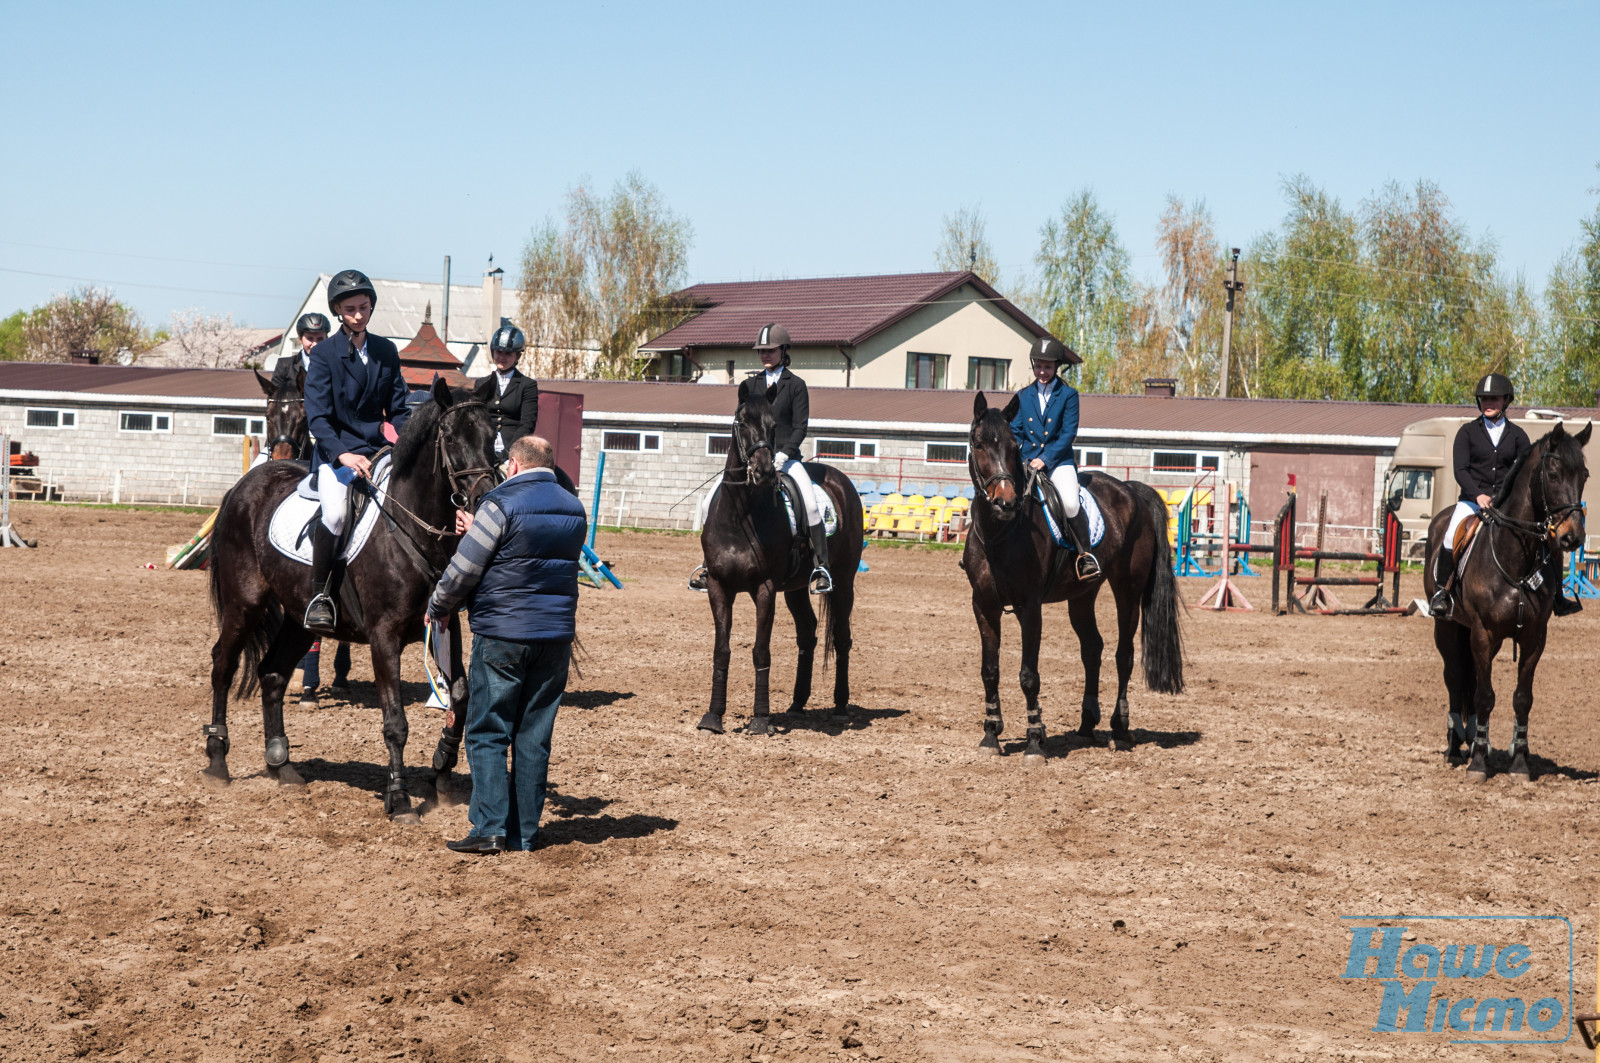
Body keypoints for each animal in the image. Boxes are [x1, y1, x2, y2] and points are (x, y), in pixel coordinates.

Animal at [203, 377, 496, 826]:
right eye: (449, 438)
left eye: (492, 435)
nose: (485, 499)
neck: (411, 525)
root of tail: (243, 486)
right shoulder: (384, 636)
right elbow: (396, 721)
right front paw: (400, 799)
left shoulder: (446, 624)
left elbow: (461, 698)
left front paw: (441, 775)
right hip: (244, 604)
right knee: (223, 664)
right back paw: (218, 761)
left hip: (299, 620)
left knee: (272, 673)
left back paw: (281, 765)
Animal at [691, 393, 864, 736]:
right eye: (742, 422)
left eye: (772, 426)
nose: (763, 472)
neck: (740, 517)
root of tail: (841, 480)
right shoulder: (717, 585)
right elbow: (721, 650)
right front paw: (713, 717)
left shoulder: (765, 588)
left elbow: (761, 649)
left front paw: (760, 719)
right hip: (795, 589)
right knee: (807, 634)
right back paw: (797, 704)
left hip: (843, 582)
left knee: (841, 638)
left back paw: (839, 707)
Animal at [953, 393, 1184, 758]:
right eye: (978, 444)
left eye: (1014, 446)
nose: (1006, 502)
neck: (999, 533)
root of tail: (1131, 489)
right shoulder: (984, 606)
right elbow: (989, 671)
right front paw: (990, 735)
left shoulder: (1029, 607)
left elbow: (1029, 674)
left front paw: (1035, 740)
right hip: (1082, 595)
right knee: (1092, 648)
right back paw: (1087, 725)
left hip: (1128, 591)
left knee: (1124, 654)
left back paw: (1120, 729)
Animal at [1427, 422, 1587, 781]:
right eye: (1553, 475)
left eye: (1584, 475)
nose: (1572, 538)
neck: (1514, 559)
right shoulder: (1482, 633)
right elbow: (1484, 696)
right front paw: (1477, 763)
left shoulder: (1533, 637)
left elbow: (1522, 698)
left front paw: (1519, 762)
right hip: (1447, 628)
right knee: (1455, 678)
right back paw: (1456, 745)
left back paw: (1478, 741)